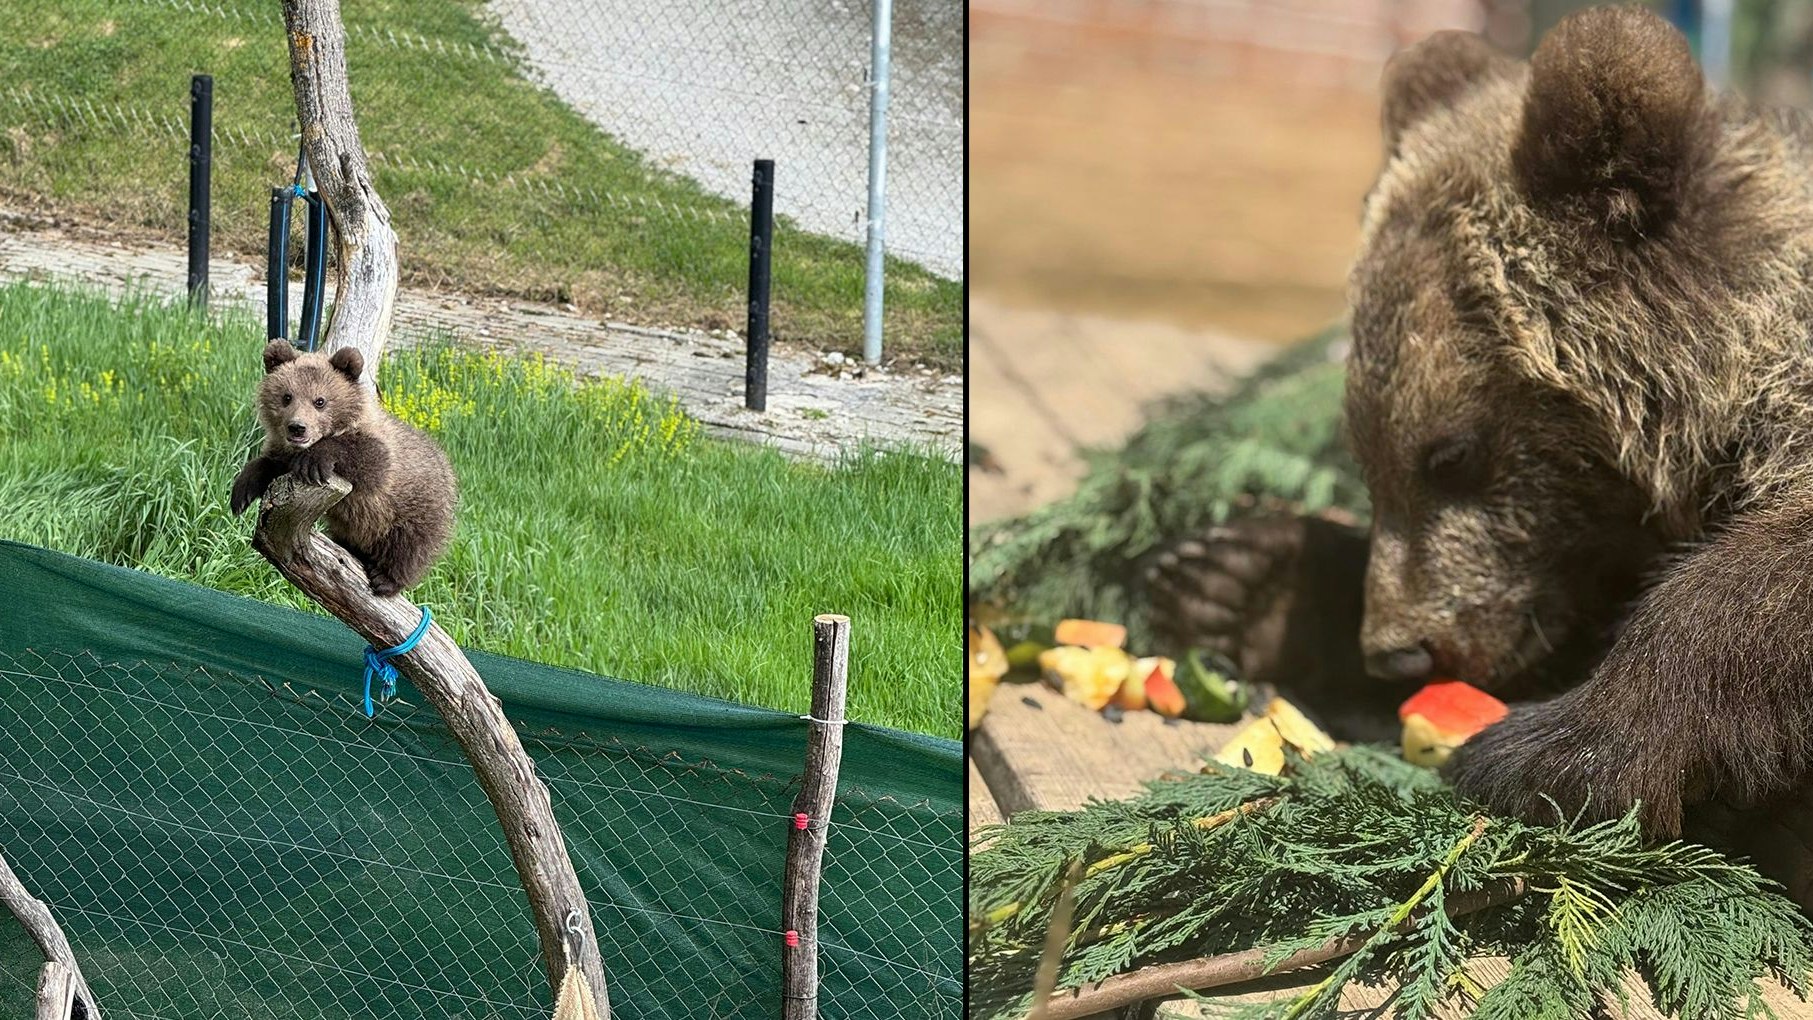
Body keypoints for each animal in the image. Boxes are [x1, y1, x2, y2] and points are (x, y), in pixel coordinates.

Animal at [230, 340, 457, 597]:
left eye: (320, 401)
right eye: (287, 396)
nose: (297, 428)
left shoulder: (381, 455)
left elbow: (369, 460)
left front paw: (313, 462)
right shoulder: (283, 452)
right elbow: (269, 464)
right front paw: (242, 491)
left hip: (418, 507)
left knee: (411, 546)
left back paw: (386, 578)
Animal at [1145, 4, 1813, 874]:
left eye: (1450, 454)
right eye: (1367, 458)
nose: (1397, 651)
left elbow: (1755, 580)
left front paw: (1554, 753)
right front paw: (1243, 580)